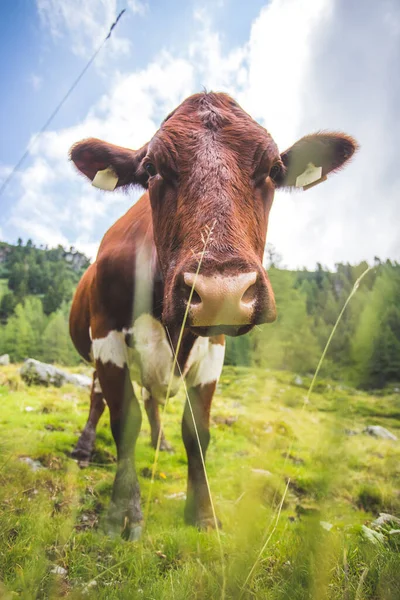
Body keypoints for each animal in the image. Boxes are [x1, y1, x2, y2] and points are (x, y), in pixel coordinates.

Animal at [68, 92, 356, 540]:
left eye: (274, 169)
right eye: (151, 169)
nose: (223, 291)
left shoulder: (213, 348)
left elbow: (197, 432)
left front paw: (203, 513)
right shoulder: (107, 336)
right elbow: (124, 420)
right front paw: (122, 514)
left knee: (151, 399)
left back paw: (161, 442)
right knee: (98, 398)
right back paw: (84, 447)